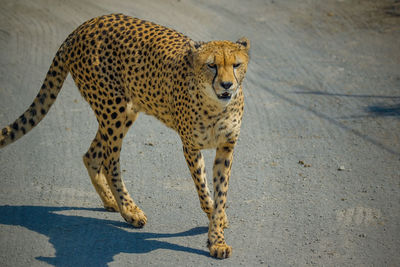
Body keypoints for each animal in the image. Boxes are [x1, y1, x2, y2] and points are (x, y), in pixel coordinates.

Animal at [0, 13, 250, 258]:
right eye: (212, 65)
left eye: (236, 65)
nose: (227, 84)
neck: (217, 106)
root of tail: (85, 25)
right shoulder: (190, 147)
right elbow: (203, 189)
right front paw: (215, 231)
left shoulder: (226, 147)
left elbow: (220, 194)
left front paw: (217, 236)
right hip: (114, 108)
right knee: (110, 162)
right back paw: (129, 210)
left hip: (125, 109)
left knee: (92, 155)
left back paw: (111, 202)